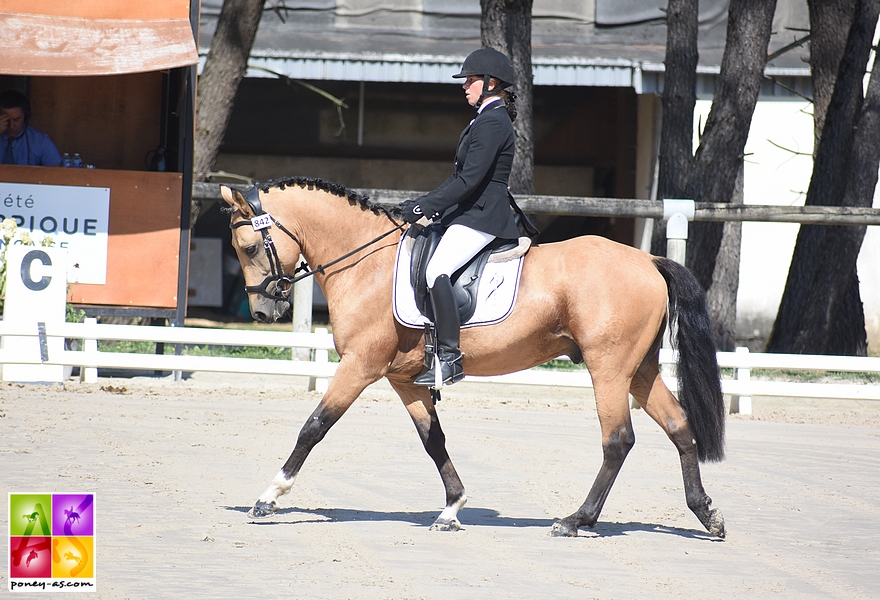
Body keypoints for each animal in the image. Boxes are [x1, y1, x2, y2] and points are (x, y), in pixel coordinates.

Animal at [218, 176, 720, 536]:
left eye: (248, 247)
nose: (263, 312)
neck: (366, 264)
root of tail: (649, 260)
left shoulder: (360, 366)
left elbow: (314, 427)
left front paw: (269, 496)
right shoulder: (404, 379)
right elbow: (433, 440)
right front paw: (452, 508)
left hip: (609, 369)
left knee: (617, 440)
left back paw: (576, 520)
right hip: (640, 369)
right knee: (679, 426)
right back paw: (706, 514)